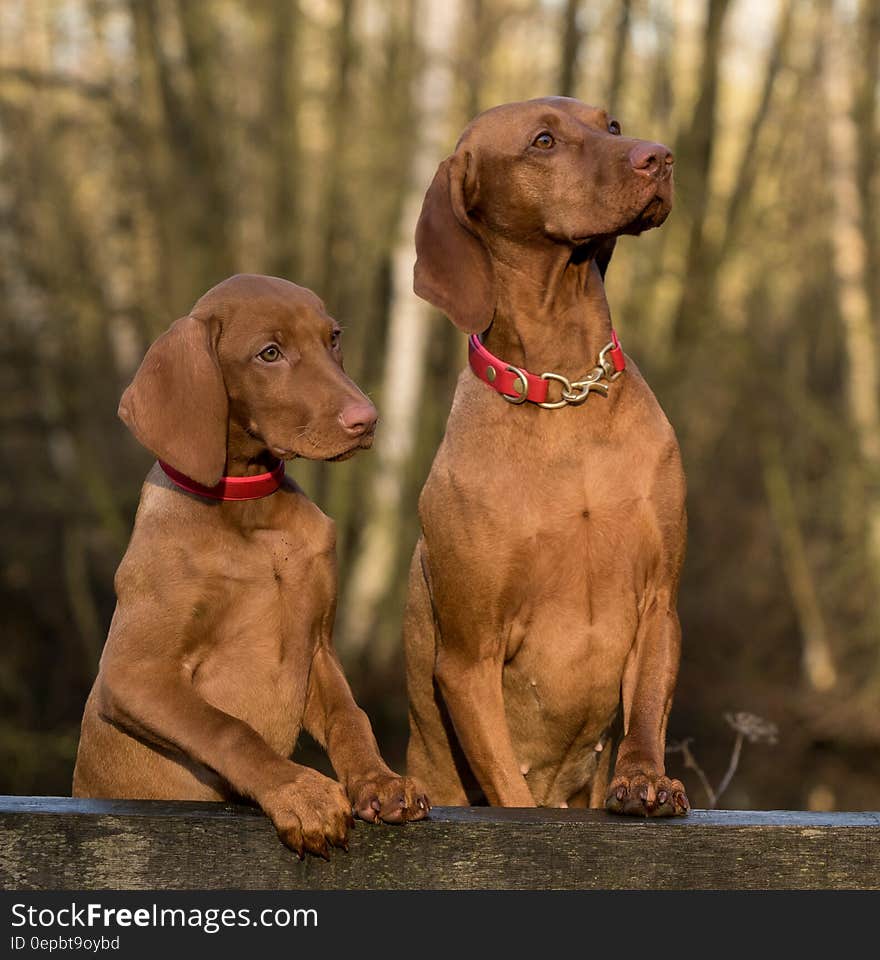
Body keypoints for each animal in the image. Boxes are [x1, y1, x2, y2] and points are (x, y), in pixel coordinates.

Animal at [75, 272, 430, 856]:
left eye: (333, 339)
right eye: (269, 353)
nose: (367, 420)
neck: (251, 515)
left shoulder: (318, 648)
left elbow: (350, 716)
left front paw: (380, 780)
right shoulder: (132, 674)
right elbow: (228, 729)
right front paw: (301, 792)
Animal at [404, 99, 688, 816]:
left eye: (610, 125)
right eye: (542, 142)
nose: (659, 155)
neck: (566, 392)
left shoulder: (658, 602)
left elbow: (647, 709)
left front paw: (644, 779)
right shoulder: (469, 657)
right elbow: (510, 788)